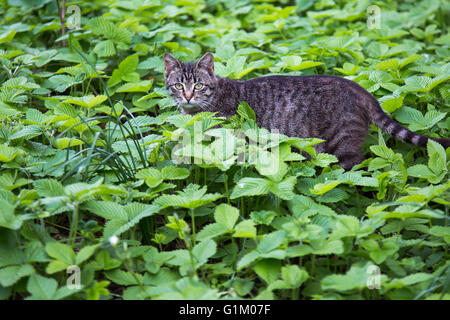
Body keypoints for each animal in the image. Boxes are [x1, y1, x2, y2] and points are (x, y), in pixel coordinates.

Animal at [164, 52, 450, 170]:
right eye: (178, 85)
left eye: (198, 85)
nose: (187, 96)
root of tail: (360, 88)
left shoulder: (232, 138)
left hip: (339, 141)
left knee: (353, 162)